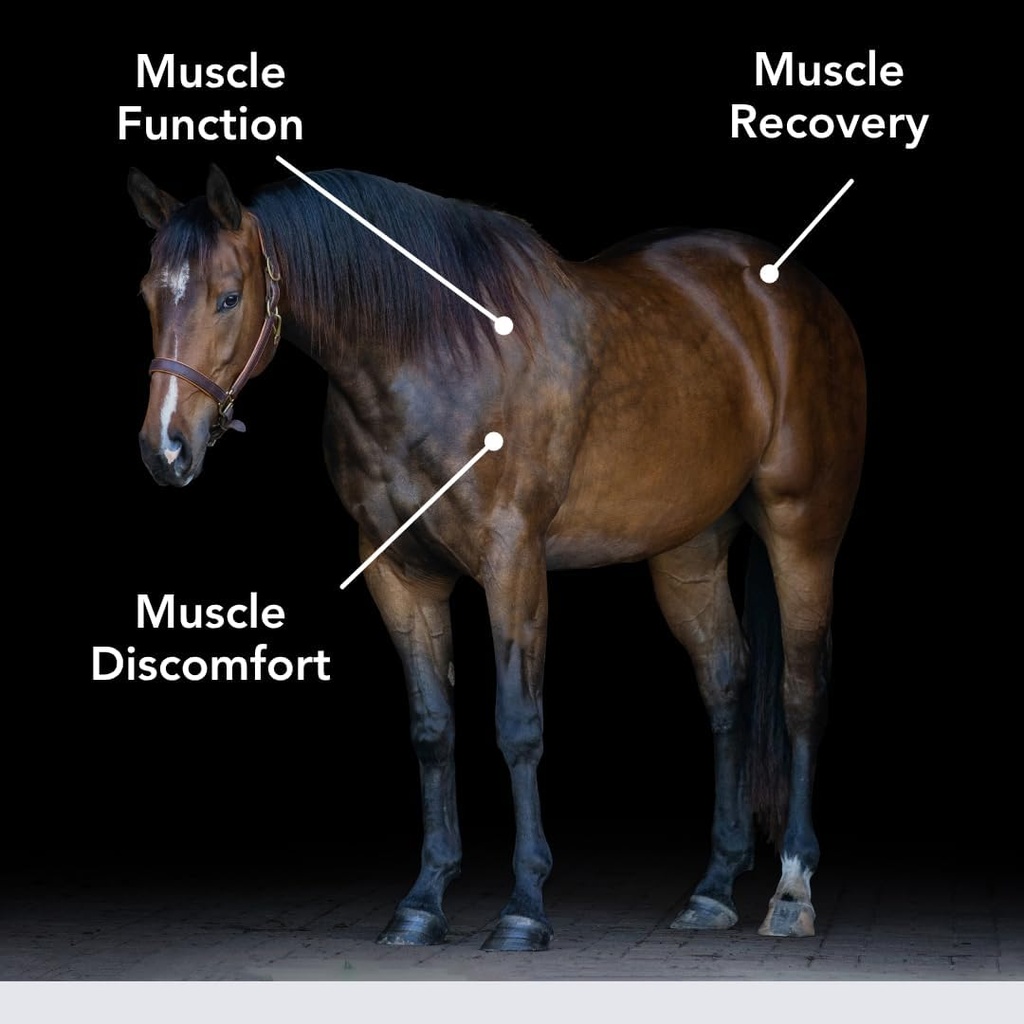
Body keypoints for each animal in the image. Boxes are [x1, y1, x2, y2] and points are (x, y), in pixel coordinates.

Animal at [129, 163, 866, 952]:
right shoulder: (399, 573)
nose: (165, 450)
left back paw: (791, 889)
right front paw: (422, 902)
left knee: (801, 691)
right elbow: (432, 729)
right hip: (688, 549)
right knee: (726, 685)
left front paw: (524, 908)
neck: (432, 354)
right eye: (148, 295)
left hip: (803, 528)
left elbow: (517, 723)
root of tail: (793, 294)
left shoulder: (513, 559)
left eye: (228, 296)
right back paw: (714, 888)